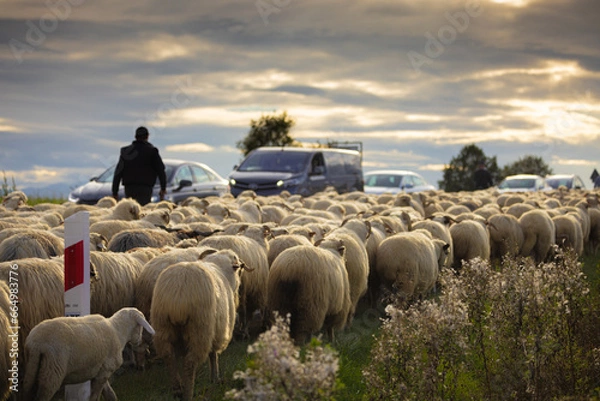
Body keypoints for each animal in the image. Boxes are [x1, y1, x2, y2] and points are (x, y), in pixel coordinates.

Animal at [22, 306, 155, 400]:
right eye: (140, 326)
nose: (139, 341)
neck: (118, 331)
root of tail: (35, 343)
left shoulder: (101, 371)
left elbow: (109, 393)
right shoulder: (105, 371)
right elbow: (95, 397)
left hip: (32, 370)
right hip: (51, 373)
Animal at [152, 248, 251, 398]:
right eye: (239, 267)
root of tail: (177, 298)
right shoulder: (218, 329)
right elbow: (213, 355)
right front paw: (215, 378)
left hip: (162, 327)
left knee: (169, 356)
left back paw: (177, 388)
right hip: (200, 329)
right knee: (190, 363)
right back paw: (188, 393)